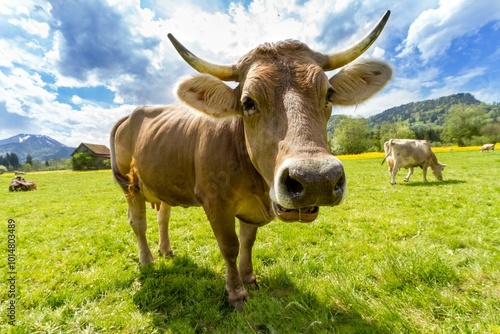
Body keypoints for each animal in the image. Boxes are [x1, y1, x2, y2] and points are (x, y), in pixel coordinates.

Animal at [111, 10, 392, 310]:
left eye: (329, 93)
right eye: (248, 102)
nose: (317, 180)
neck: (256, 184)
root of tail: (133, 113)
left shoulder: (250, 210)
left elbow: (247, 242)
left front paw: (250, 279)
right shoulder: (215, 202)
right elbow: (230, 246)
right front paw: (236, 292)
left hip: (161, 182)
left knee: (163, 216)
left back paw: (165, 250)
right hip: (130, 186)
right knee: (138, 223)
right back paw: (147, 260)